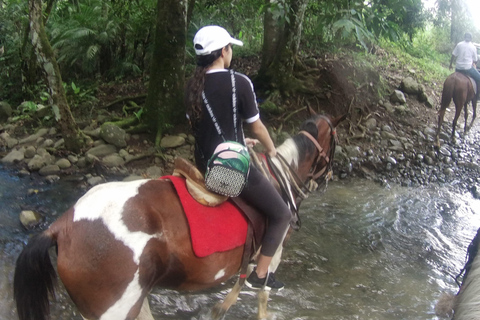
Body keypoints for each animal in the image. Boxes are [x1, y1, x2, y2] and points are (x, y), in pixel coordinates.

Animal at [14, 108, 344, 320]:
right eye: (336, 141)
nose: (330, 176)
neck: (279, 179)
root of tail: (61, 226)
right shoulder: (273, 250)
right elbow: (261, 292)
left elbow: (237, 287)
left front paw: (217, 311)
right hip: (114, 308)